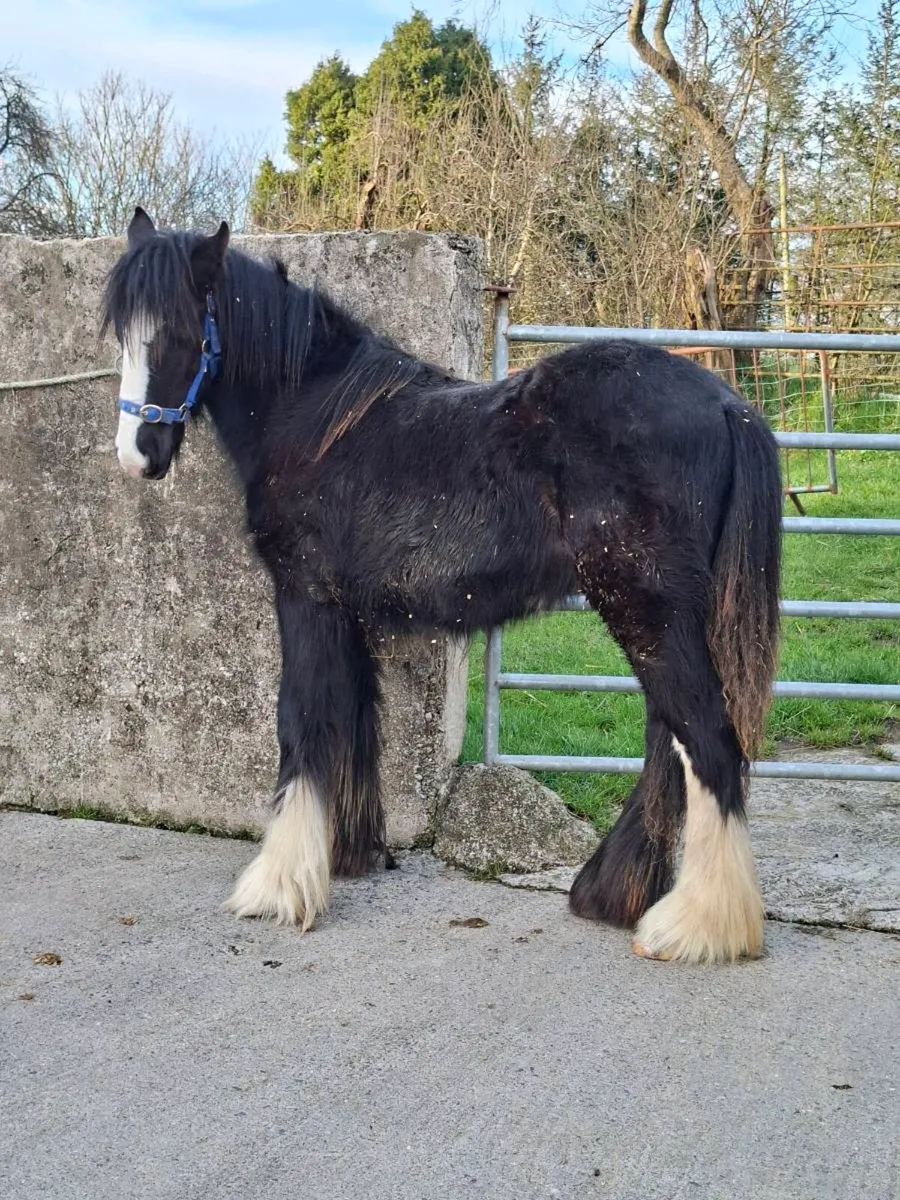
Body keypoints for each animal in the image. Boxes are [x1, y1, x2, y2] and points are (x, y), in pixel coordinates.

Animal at [102, 207, 783, 964]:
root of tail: (728, 405)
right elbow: (353, 716)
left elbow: (300, 720)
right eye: (120, 332)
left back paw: (697, 925)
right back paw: (619, 893)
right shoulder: (348, 611)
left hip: (647, 607)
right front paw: (349, 855)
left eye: (182, 333)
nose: (137, 456)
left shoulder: (305, 597)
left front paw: (278, 885)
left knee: (706, 739)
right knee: (672, 738)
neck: (311, 416)